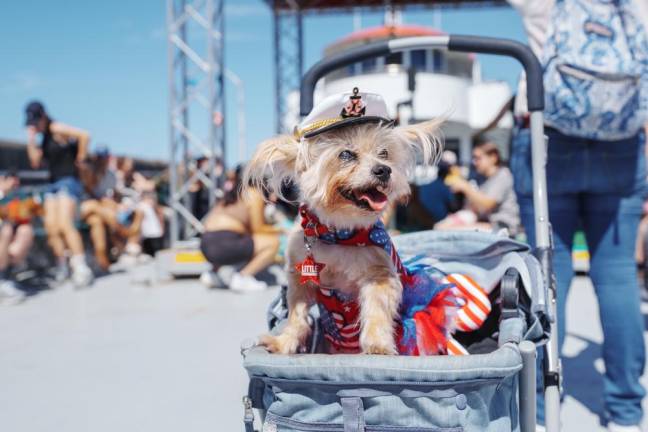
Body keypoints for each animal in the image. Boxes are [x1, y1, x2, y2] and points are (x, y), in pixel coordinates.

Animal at [246, 89, 442, 356]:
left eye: (384, 153)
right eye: (346, 154)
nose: (384, 170)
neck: (339, 233)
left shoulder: (380, 276)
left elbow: (377, 313)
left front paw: (378, 346)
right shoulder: (300, 283)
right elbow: (296, 317)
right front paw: (283, 343)